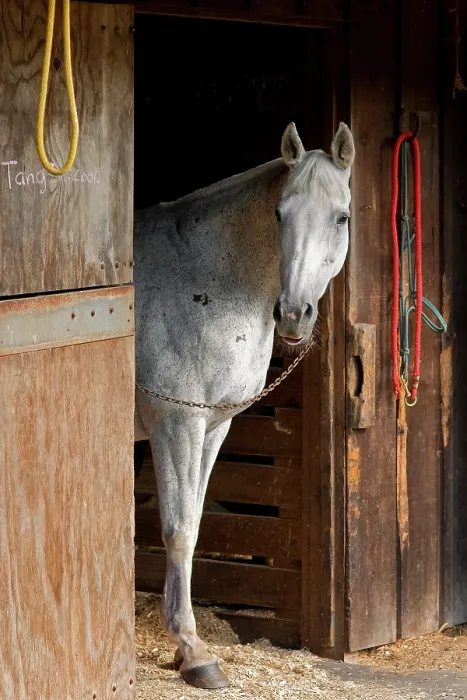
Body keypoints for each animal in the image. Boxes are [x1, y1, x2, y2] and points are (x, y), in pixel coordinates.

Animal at [134, 121, 355, 689]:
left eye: (341, 217)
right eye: (279, 212)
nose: (294, 314)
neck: (201, 278)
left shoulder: (212, 428)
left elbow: (192, 523)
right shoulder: (176, 423)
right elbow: (179, 530)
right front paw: (193, 652)